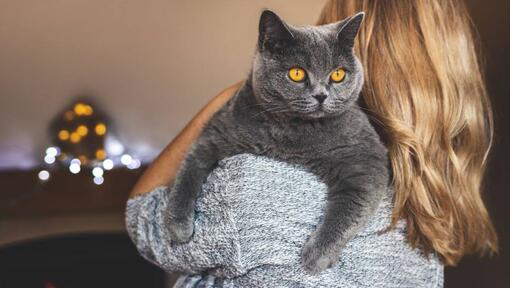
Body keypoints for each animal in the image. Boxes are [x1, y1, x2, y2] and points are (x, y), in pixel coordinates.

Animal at [165, 10, 388, 274]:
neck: (290, 134)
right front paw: (178, 226)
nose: (321, 95)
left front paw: (316, 256)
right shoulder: (218, 132)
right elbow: (188, 172)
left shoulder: (366, 159)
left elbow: (350, 207)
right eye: (297, 73)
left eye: (338, 74)